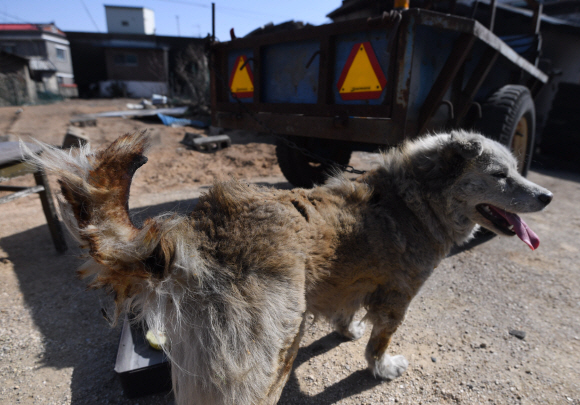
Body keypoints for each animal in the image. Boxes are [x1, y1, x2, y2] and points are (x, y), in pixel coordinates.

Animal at [24, 130, 552, 404]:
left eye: (516, 170)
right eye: (500, 175)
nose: (547, 195)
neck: (412, 197)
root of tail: (202, 226)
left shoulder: (351, 283)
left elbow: (346, 312)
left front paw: (347, 331)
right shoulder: (398, 298)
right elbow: (380, 342)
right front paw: (381, 367)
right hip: (273, 355)